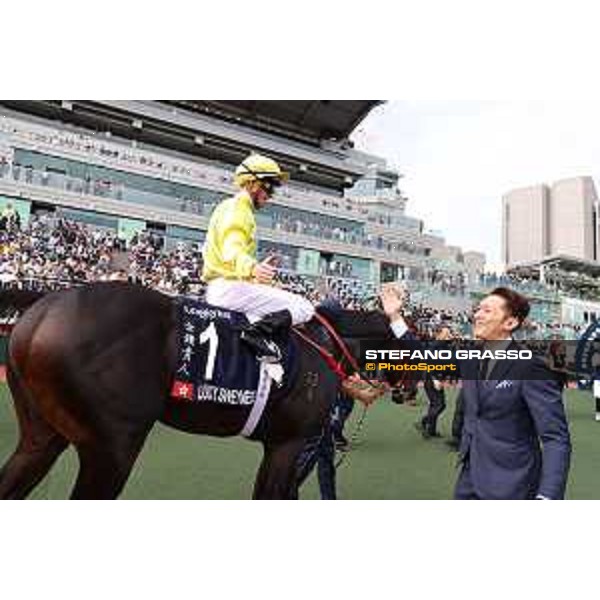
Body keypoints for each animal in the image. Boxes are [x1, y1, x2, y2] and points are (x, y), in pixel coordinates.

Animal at [0, 284, 394, 500]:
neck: (328, 341)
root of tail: (46, 305)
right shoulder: (289, 442)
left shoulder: (286, 445)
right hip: (113, 446)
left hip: (43, 434)